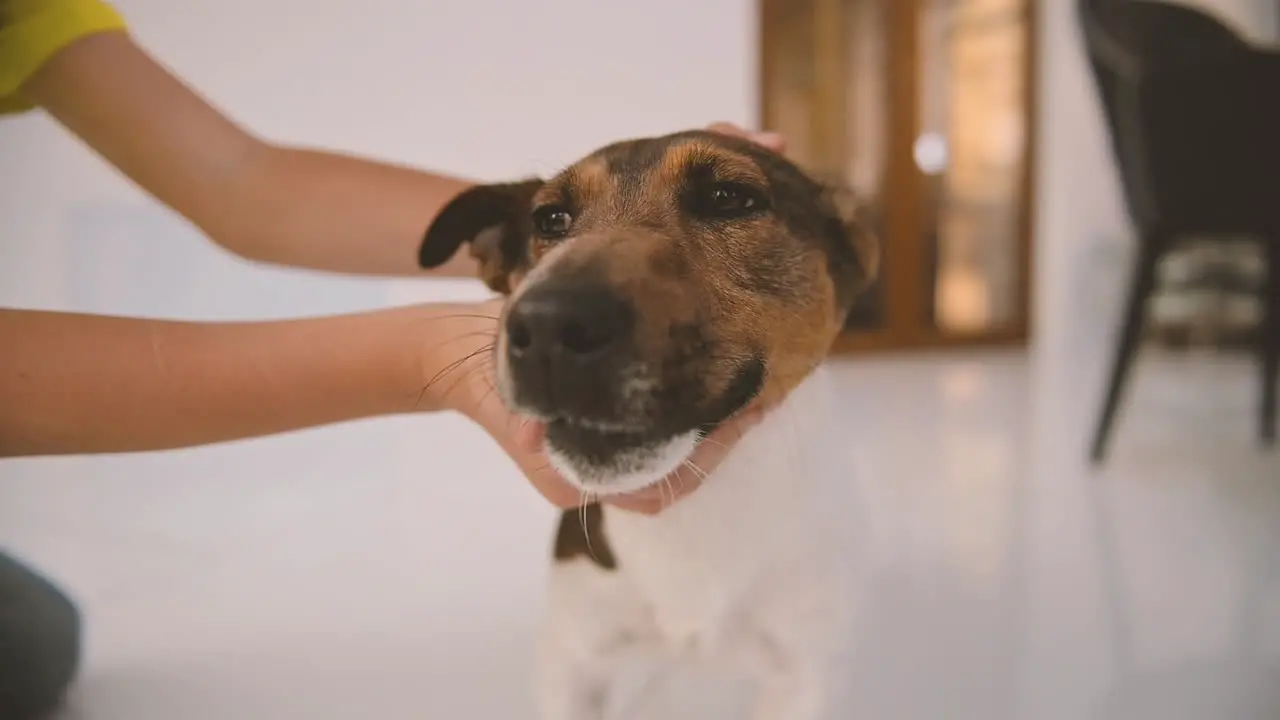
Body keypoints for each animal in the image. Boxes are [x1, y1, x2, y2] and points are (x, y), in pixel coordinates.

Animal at [419, 130, 880, 717]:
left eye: (729, 198)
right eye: (551, 220)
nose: (546, 324)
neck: (692, 512)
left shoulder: (807, 675)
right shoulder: (572, 661)